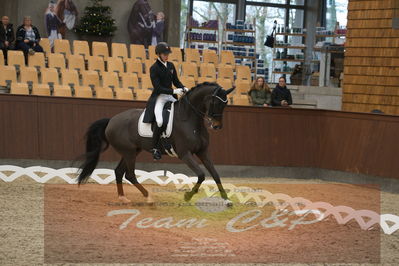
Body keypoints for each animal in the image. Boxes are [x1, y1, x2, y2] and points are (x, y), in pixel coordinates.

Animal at [77, 83, 236, 206]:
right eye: (215, 103)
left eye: (226, 104)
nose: (216, 126)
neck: (190, 120)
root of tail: (111, 120)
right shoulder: (184, 154)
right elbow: (202, 175)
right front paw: (187, 196)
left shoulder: (203, 152)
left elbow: (215, 174)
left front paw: (227, 200)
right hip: (129, 152)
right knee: (130, 174)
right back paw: (148, 198)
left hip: (132, 151)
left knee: (119, 172)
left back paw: (123, 198)